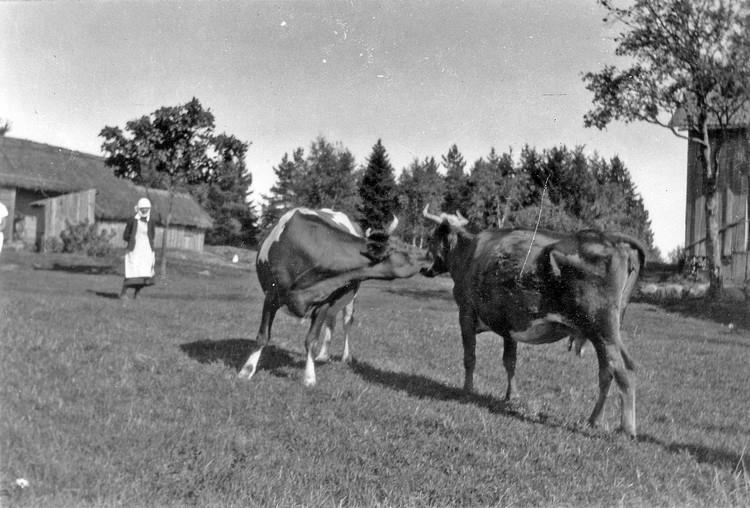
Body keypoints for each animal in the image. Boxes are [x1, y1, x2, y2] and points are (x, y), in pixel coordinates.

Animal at [238, 206, 420, 384]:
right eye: (396, 250)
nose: (422, 260)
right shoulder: (271, 296)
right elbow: (262, 336)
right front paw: (247, 370)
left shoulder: (323, 303)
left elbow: (311, 340)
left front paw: (309, 377)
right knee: (331, 322)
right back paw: (324, 355)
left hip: (349, 299)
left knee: (346, 322)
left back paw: (345, 357)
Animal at [424, 206, 648, 436]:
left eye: (430, 238)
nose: (424, 264)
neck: (468, 253)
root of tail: (608, 237)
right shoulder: (508, 322)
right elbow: (510, 361)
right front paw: (511, 396)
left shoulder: (466, 313)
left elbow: (470, 357)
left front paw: (467, 390)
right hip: (605, 332)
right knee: (609, 371)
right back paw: (594, 419)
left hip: (601, 328)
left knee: (622, 369)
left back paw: (627, 428)